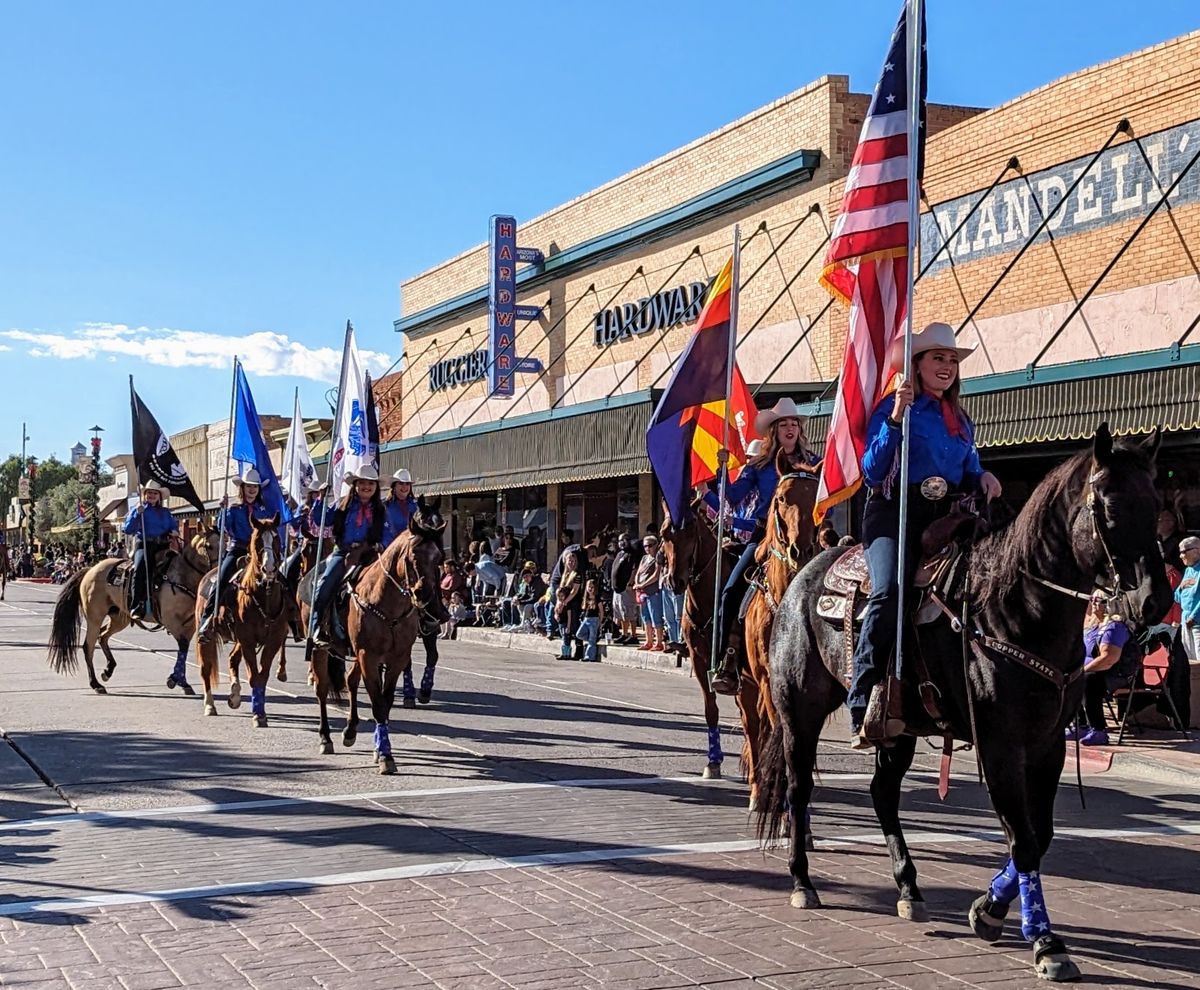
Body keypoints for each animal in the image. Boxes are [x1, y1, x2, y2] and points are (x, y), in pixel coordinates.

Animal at [46, 532, 220, 696]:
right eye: (209, 546)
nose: (218, 571)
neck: (181, 576)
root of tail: (91, 569)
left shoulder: (190, 624)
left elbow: (183, 648)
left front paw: (182, 682)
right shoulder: (171, 621)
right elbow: (182, 645)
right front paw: (174, 680)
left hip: (119, 618)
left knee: (103, 636)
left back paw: (108, 670)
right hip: (95, 617)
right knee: (88, 646)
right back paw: (96, 684)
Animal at [198, 513, 291, 720]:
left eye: (276, 539)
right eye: (257, 540)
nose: (269, 569)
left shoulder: (272, 641)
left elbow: (262, 676)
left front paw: (260, 711)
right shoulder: (247, 639)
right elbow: (254, 676)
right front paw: (258, 715)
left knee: (233, 659)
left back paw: (234, 696)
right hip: (207, 637)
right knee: (206, 668)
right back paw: (209, 705)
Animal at [300, 494, 451, 763]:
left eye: (438, 558)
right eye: (412, 556)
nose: (425, 596)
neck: (386, 603)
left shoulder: (397, 656)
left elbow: (386, 699)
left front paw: (381, 746)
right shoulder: (367, 655)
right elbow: (378, 703)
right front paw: (385, 755)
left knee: (350, 681)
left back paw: (350, 730)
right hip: (321, 649)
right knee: (322, 688)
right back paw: (325, 737)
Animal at [758, 422, 1171, 979]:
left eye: (1156, 502)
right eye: (1106, 505)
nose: (1155, 600)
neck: (1013, 608)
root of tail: (805, 571)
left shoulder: (1047, 745)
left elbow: (1040, 834)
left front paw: (989, 910)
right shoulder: (1000, 745)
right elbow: (1023, 839)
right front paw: (1045, 942)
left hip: (897, 727)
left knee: (882, 793)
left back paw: (909, 888)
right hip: (798, 711)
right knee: (798, 789)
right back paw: (803, 881)